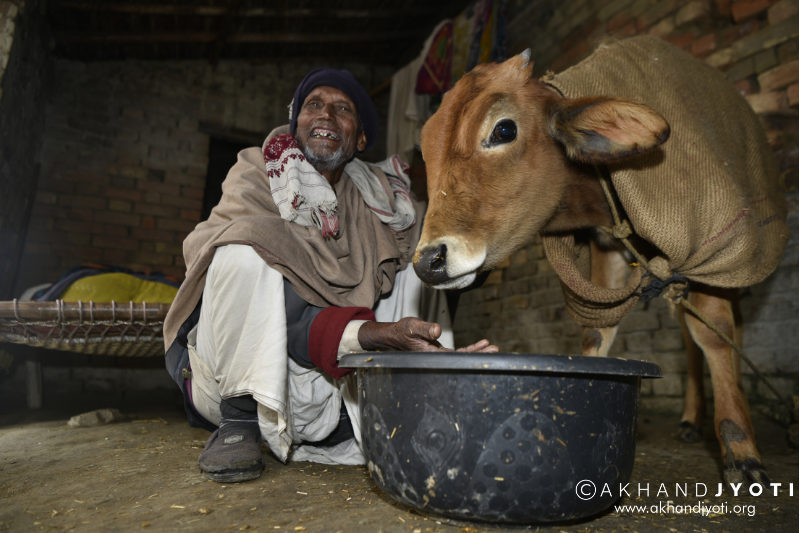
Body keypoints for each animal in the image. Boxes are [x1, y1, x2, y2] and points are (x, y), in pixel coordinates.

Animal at [412, 37, 788, 488]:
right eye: (426, 152)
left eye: (504, 129)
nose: (429, 260)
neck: (599, 191)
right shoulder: (608, 251)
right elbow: (598, 331)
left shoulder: (711, 254)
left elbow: (713, 335)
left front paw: (741, 447)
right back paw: (689, 420)